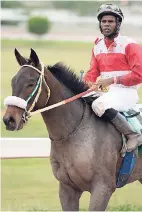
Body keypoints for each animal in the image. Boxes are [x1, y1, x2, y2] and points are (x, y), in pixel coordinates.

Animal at [2, 48, 142, 211]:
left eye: (31, 83)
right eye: (13, 81)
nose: (9, 120)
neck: (73, 134)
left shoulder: (103, 188)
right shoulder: (67, 188)